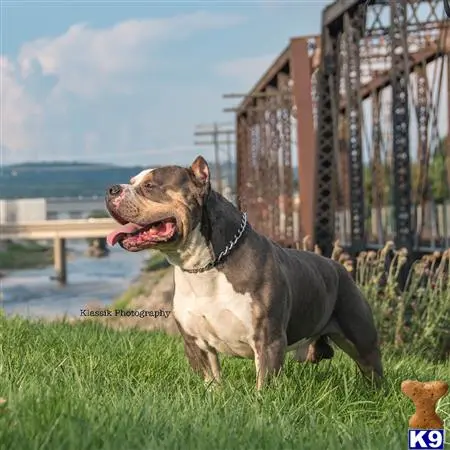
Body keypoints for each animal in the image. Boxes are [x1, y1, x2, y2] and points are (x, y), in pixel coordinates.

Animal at [105, 156, 384, 388]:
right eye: (133, 182)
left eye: (150, 186)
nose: (111, 189)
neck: (203, 266)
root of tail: (339, 267)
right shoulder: (196, 343)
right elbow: (212, 381)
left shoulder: (268, 340)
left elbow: (264, 384)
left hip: (361, 338)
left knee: (372, 368)